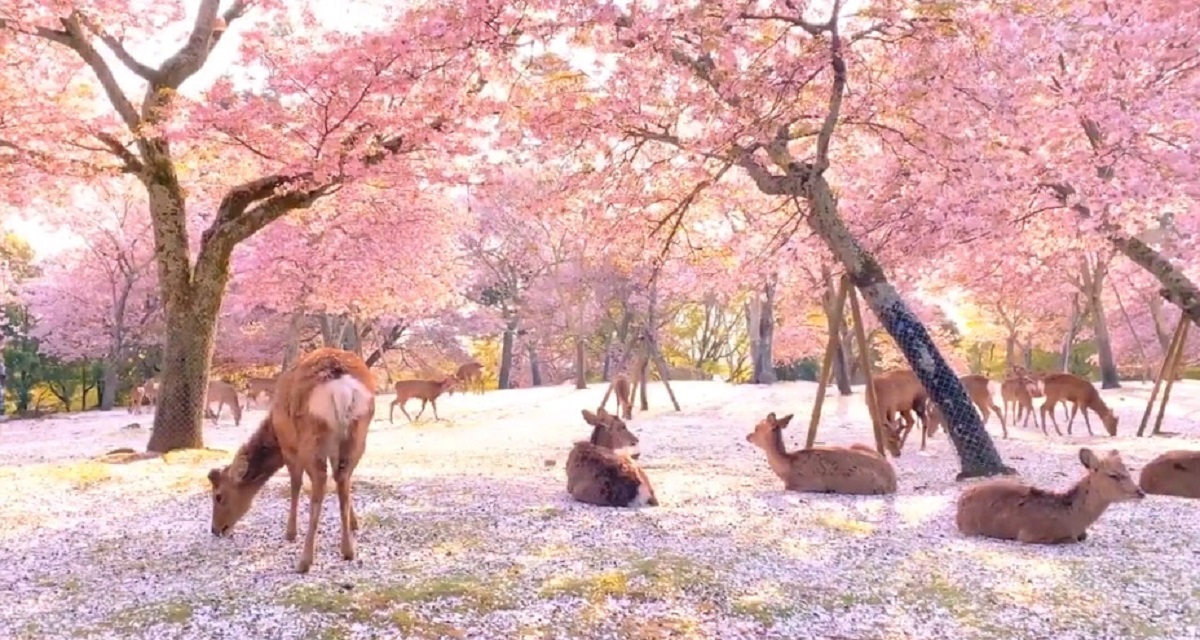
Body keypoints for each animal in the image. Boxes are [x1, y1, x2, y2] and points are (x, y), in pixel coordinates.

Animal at [207, 347, 376, 574]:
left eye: (218, 496)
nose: (215, 529)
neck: (274, 433)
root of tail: (340, 385)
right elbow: (342, 485)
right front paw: (354, 522)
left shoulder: (289, 448)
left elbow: (295, 485)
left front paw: (290, 533)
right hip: (357, 434)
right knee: (342, 476)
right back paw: (348, 550)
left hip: (310, 438)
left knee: (319, 484)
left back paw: (305, 560)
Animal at [745, 412, 898, 495]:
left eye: (756, 428)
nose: (748, 436)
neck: (787, 468)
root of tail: (894, 482)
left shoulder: (805, 484)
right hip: (858, 444)